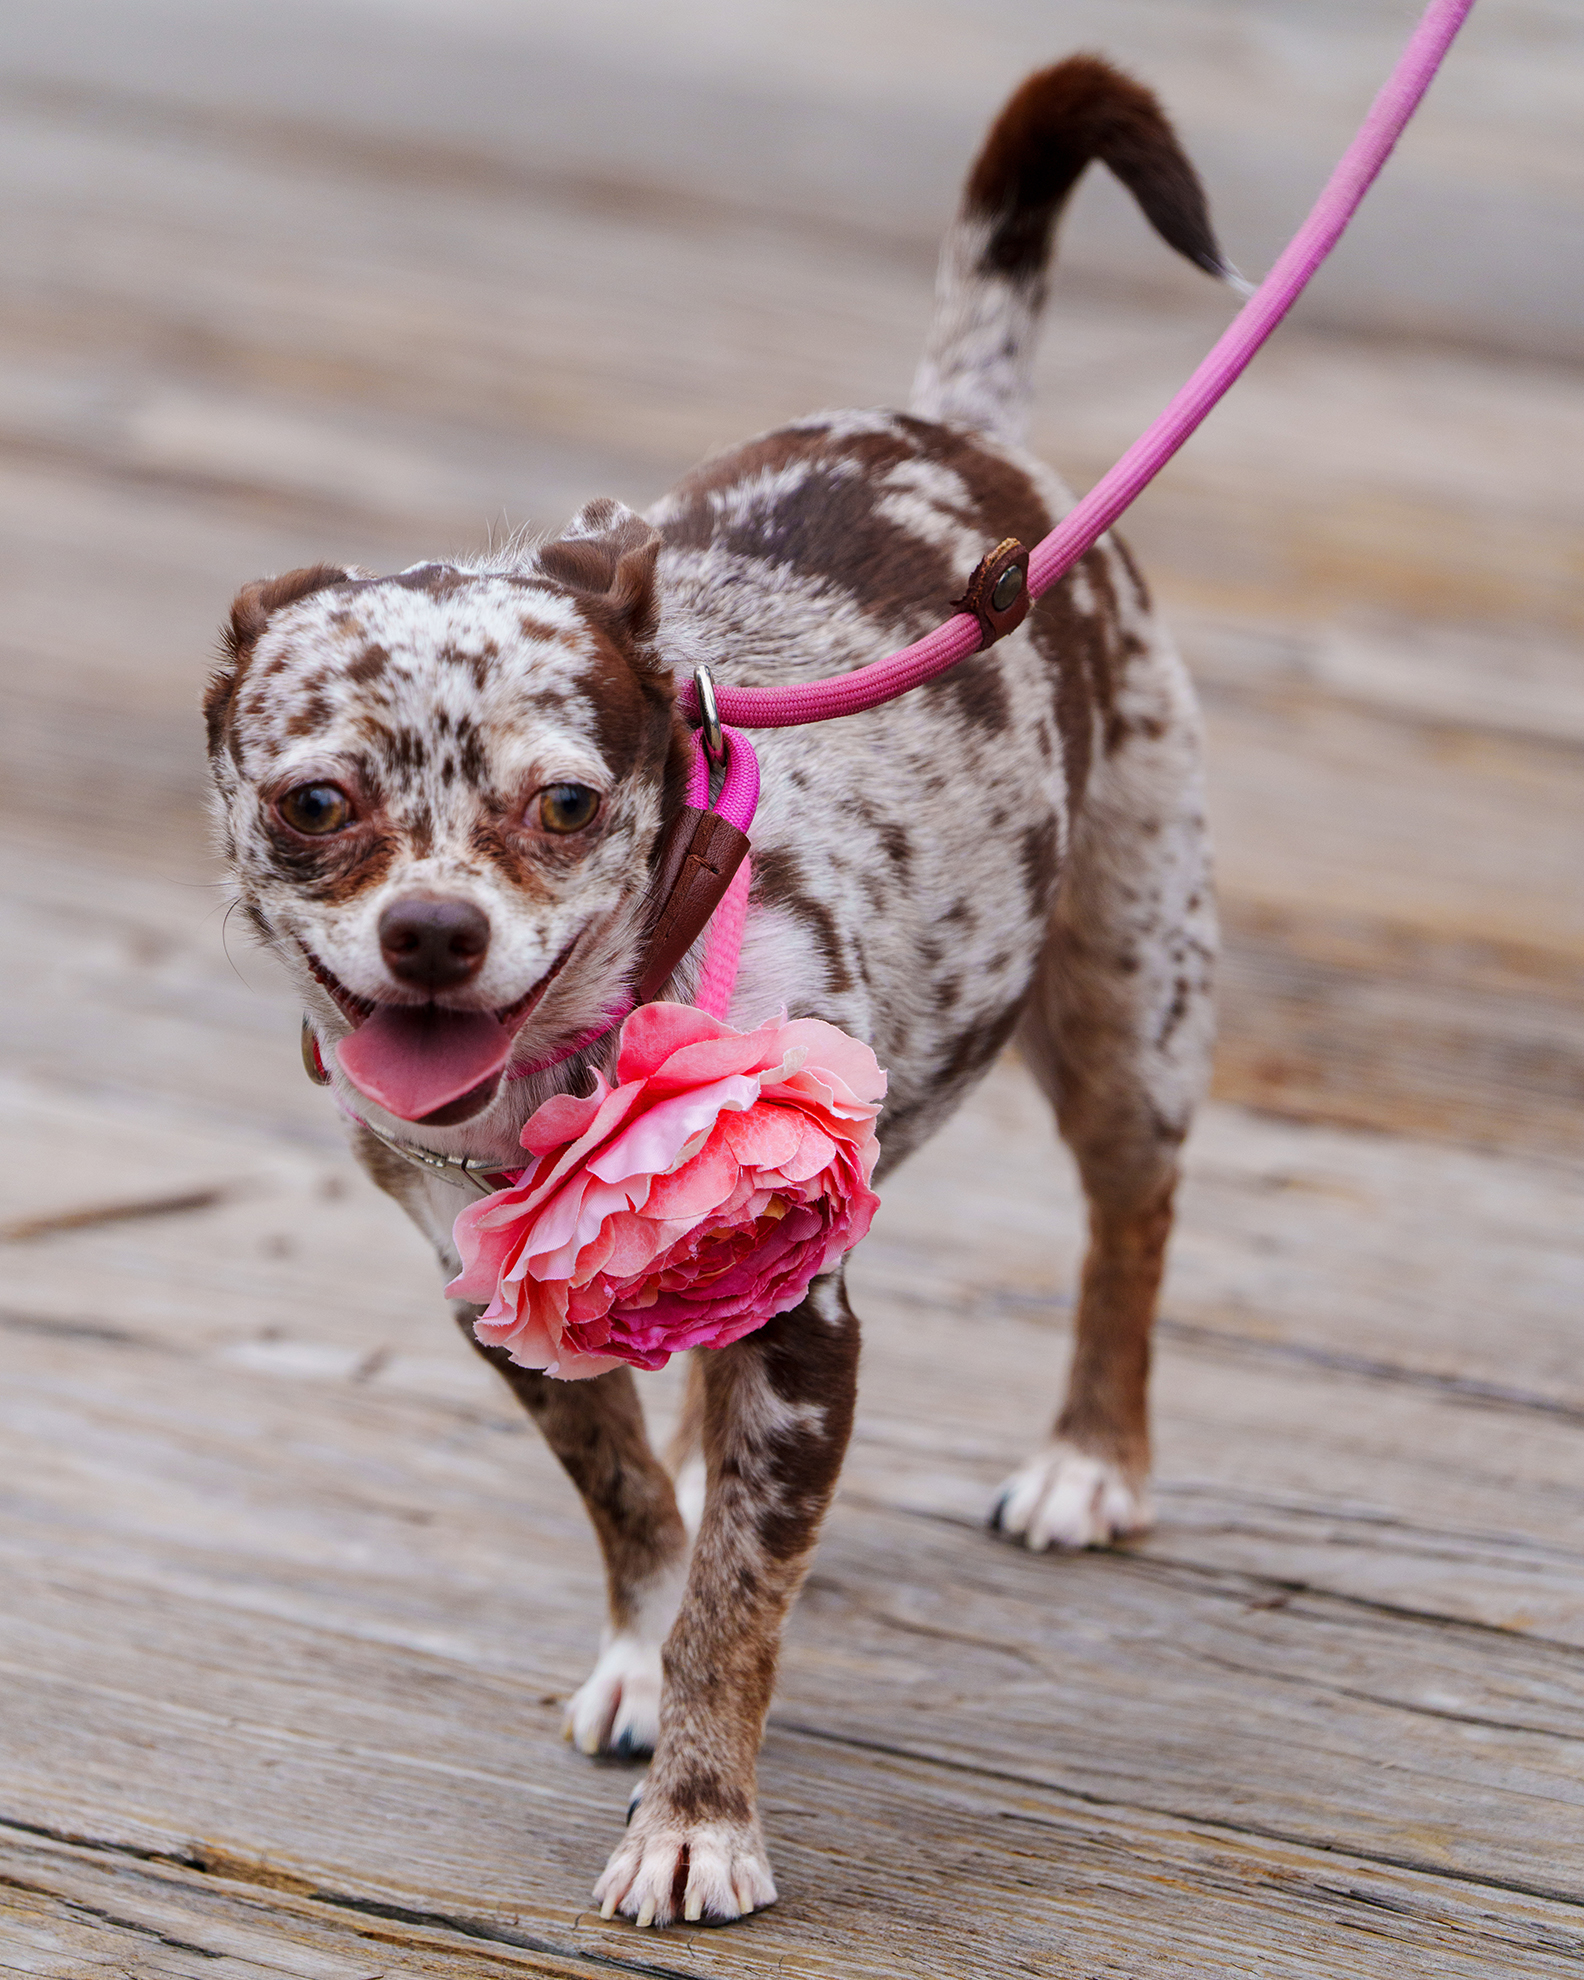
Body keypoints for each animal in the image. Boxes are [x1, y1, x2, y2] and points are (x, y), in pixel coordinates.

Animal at [206, 57, 1227, 1932]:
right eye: (318, 805)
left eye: (565, 805)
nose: (433, 933)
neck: (576, 1075)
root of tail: (955, 425)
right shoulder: (497, 1308)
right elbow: (628, 1508)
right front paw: (638, 1633)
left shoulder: (806, 1333)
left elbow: (737, 1609)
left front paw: (696, 1816)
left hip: (1132, 1002)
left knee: (1131, 1222)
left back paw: (1090, 1457)